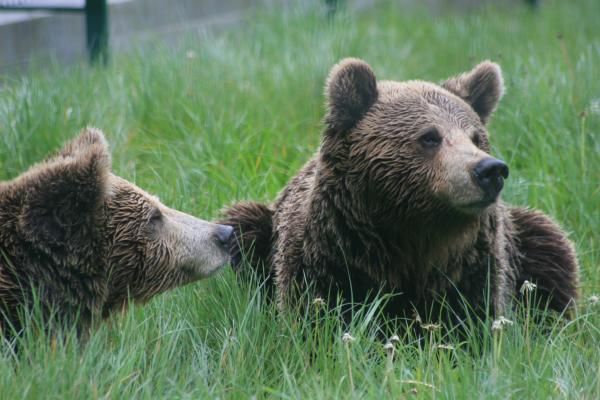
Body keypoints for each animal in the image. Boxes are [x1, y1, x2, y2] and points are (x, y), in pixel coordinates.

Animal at [223, 57, 580, 326]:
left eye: (476, 138)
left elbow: (473, 317)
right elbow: (317, 314)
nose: (490, 170)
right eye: (430, 137)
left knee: (552, 249)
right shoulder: (327, 256)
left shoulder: (474, 265)